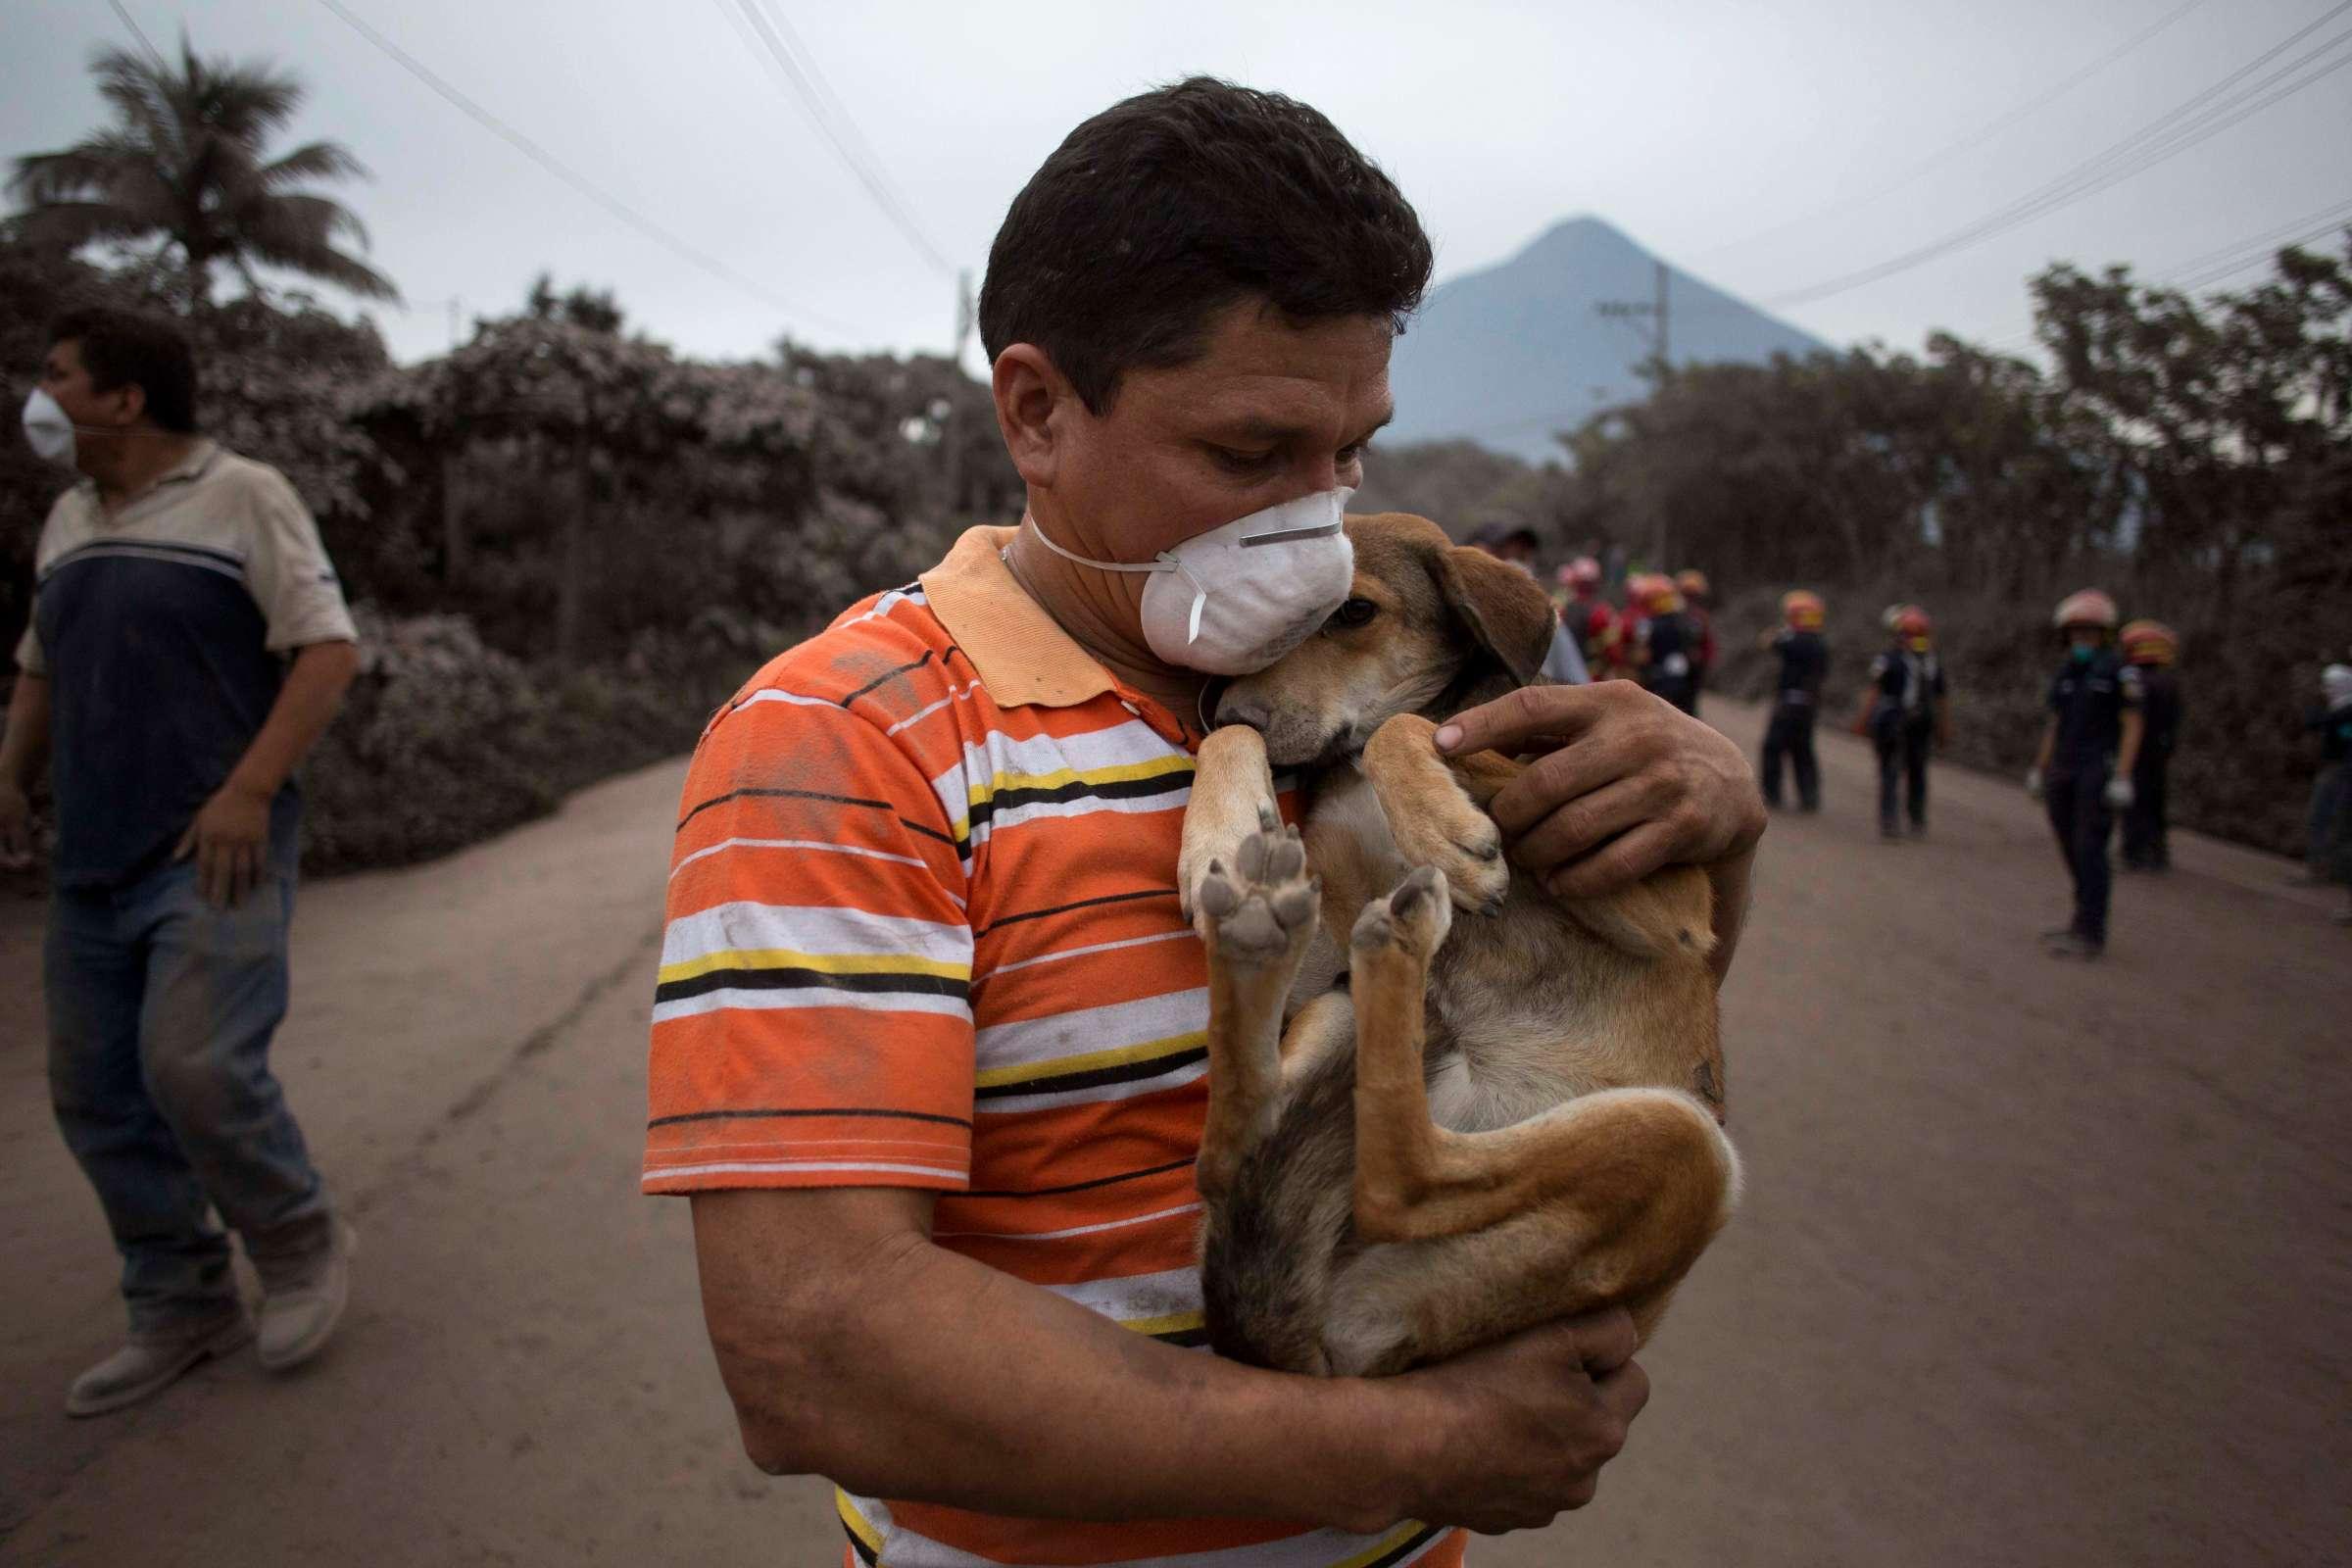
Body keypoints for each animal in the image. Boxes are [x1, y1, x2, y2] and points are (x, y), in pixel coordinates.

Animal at [1185, 512, 1740, 1372]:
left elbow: (1417, 727)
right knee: (1248, 1151)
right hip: (1338, 1015)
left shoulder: (1668, 907)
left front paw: (1444, 828)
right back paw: (1276, 934)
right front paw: (1218, 824)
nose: (1227, 711)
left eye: (1353, 613)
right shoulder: (1335, 916)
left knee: (1401, 1181)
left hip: (1687, 1149)